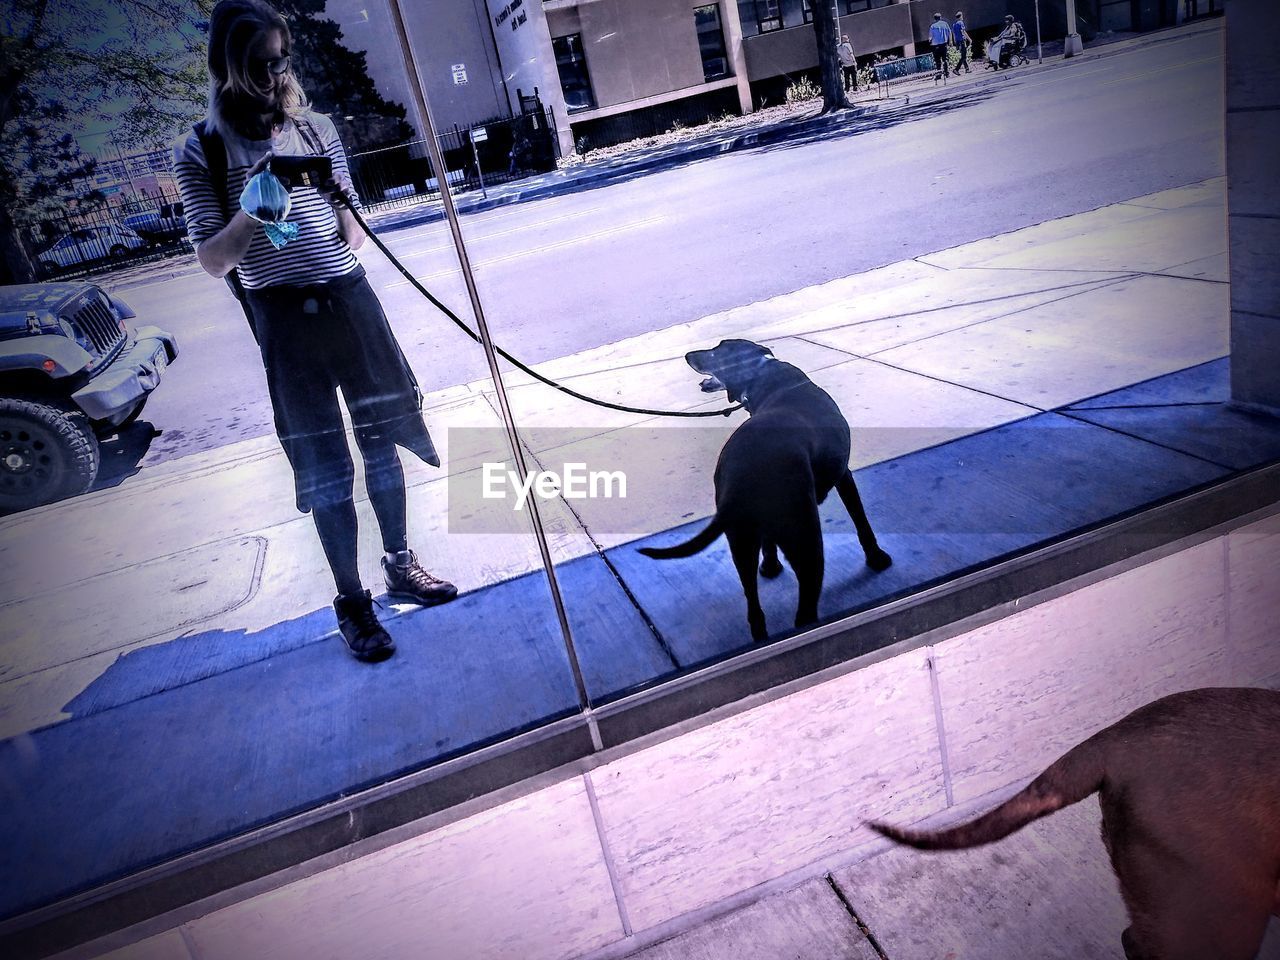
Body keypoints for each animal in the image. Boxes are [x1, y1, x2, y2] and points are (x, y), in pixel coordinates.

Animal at [637, 343, 890, 642]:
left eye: (716, 352)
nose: (688, 355)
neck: (761, 372)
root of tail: (741, 475)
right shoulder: (844, 474)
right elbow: (861, 521)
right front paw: (877, 558)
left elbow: (769, 542)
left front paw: (770, 566)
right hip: (805, 537)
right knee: (805, 606)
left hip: (740, 540)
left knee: (754, 609)